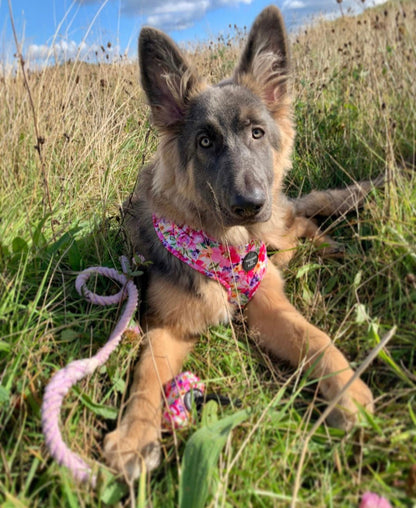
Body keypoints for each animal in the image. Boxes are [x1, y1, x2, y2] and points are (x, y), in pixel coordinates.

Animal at [103, 4, 374, 480]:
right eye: (205, 141)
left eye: (257, 133)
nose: (250, 205)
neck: (225, 248)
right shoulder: (169, 327)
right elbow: (145, 377)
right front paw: (135, 436)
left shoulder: (268, 303)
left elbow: (314, 337)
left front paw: (348, 390)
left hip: (279, 232)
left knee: (303, 221)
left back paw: (332, 248)